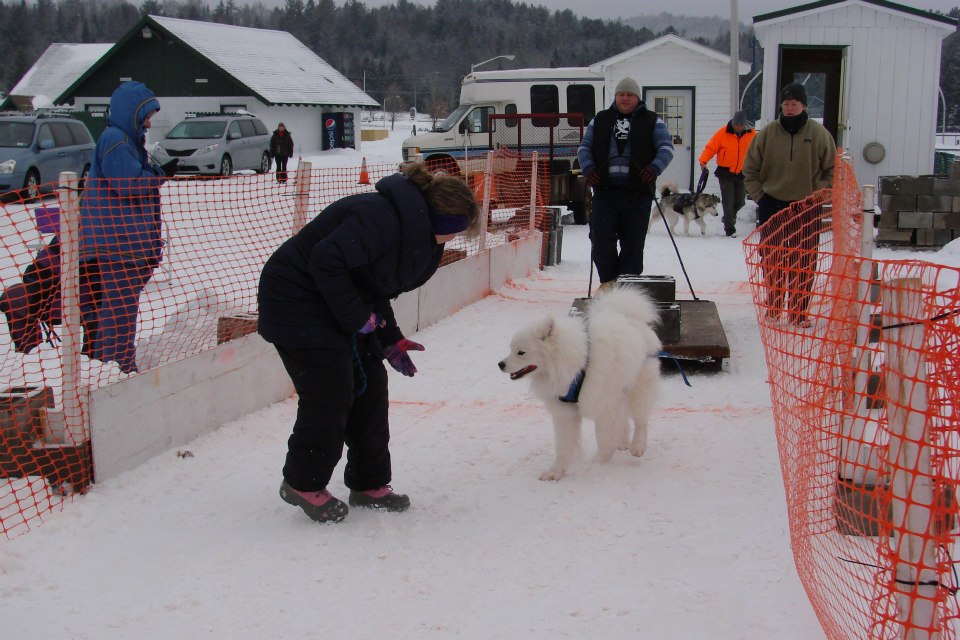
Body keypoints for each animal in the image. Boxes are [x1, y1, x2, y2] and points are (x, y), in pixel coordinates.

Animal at [498, 288, 664, 478]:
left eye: (521, 352)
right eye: (511, 349)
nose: (500, 364)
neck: (575, 365)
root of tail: (629, 316)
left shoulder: (601, 405)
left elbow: (603, 438)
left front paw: (601, 462)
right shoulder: (565, 412)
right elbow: (562, 446)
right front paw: (555, 473)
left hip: (638, 387)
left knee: (640, 420)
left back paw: (637, 446)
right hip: (620, 389)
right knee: (624, 417)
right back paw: (623, 442)